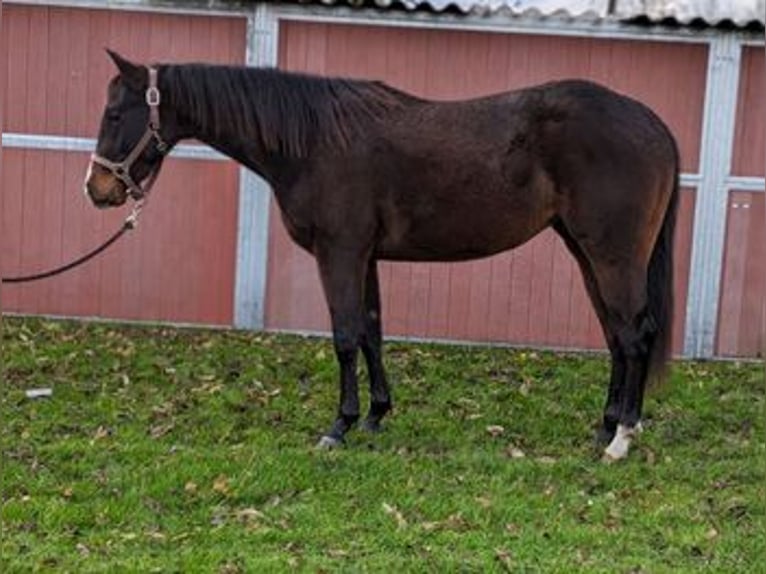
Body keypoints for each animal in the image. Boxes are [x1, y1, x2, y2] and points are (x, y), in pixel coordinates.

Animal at [87, 50, 680, 464]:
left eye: (116, 113)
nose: (97, 189)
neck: (313, 142)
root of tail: (651, 123)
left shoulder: (339, 253)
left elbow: (346, 336)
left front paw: (339, 427)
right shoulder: (364, 256)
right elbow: (372, 329)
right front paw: (375, 416)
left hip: (611, 255)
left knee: (634, 335)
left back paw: (622, 439)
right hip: (585, 252)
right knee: (616, 336)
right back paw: (606, 426)